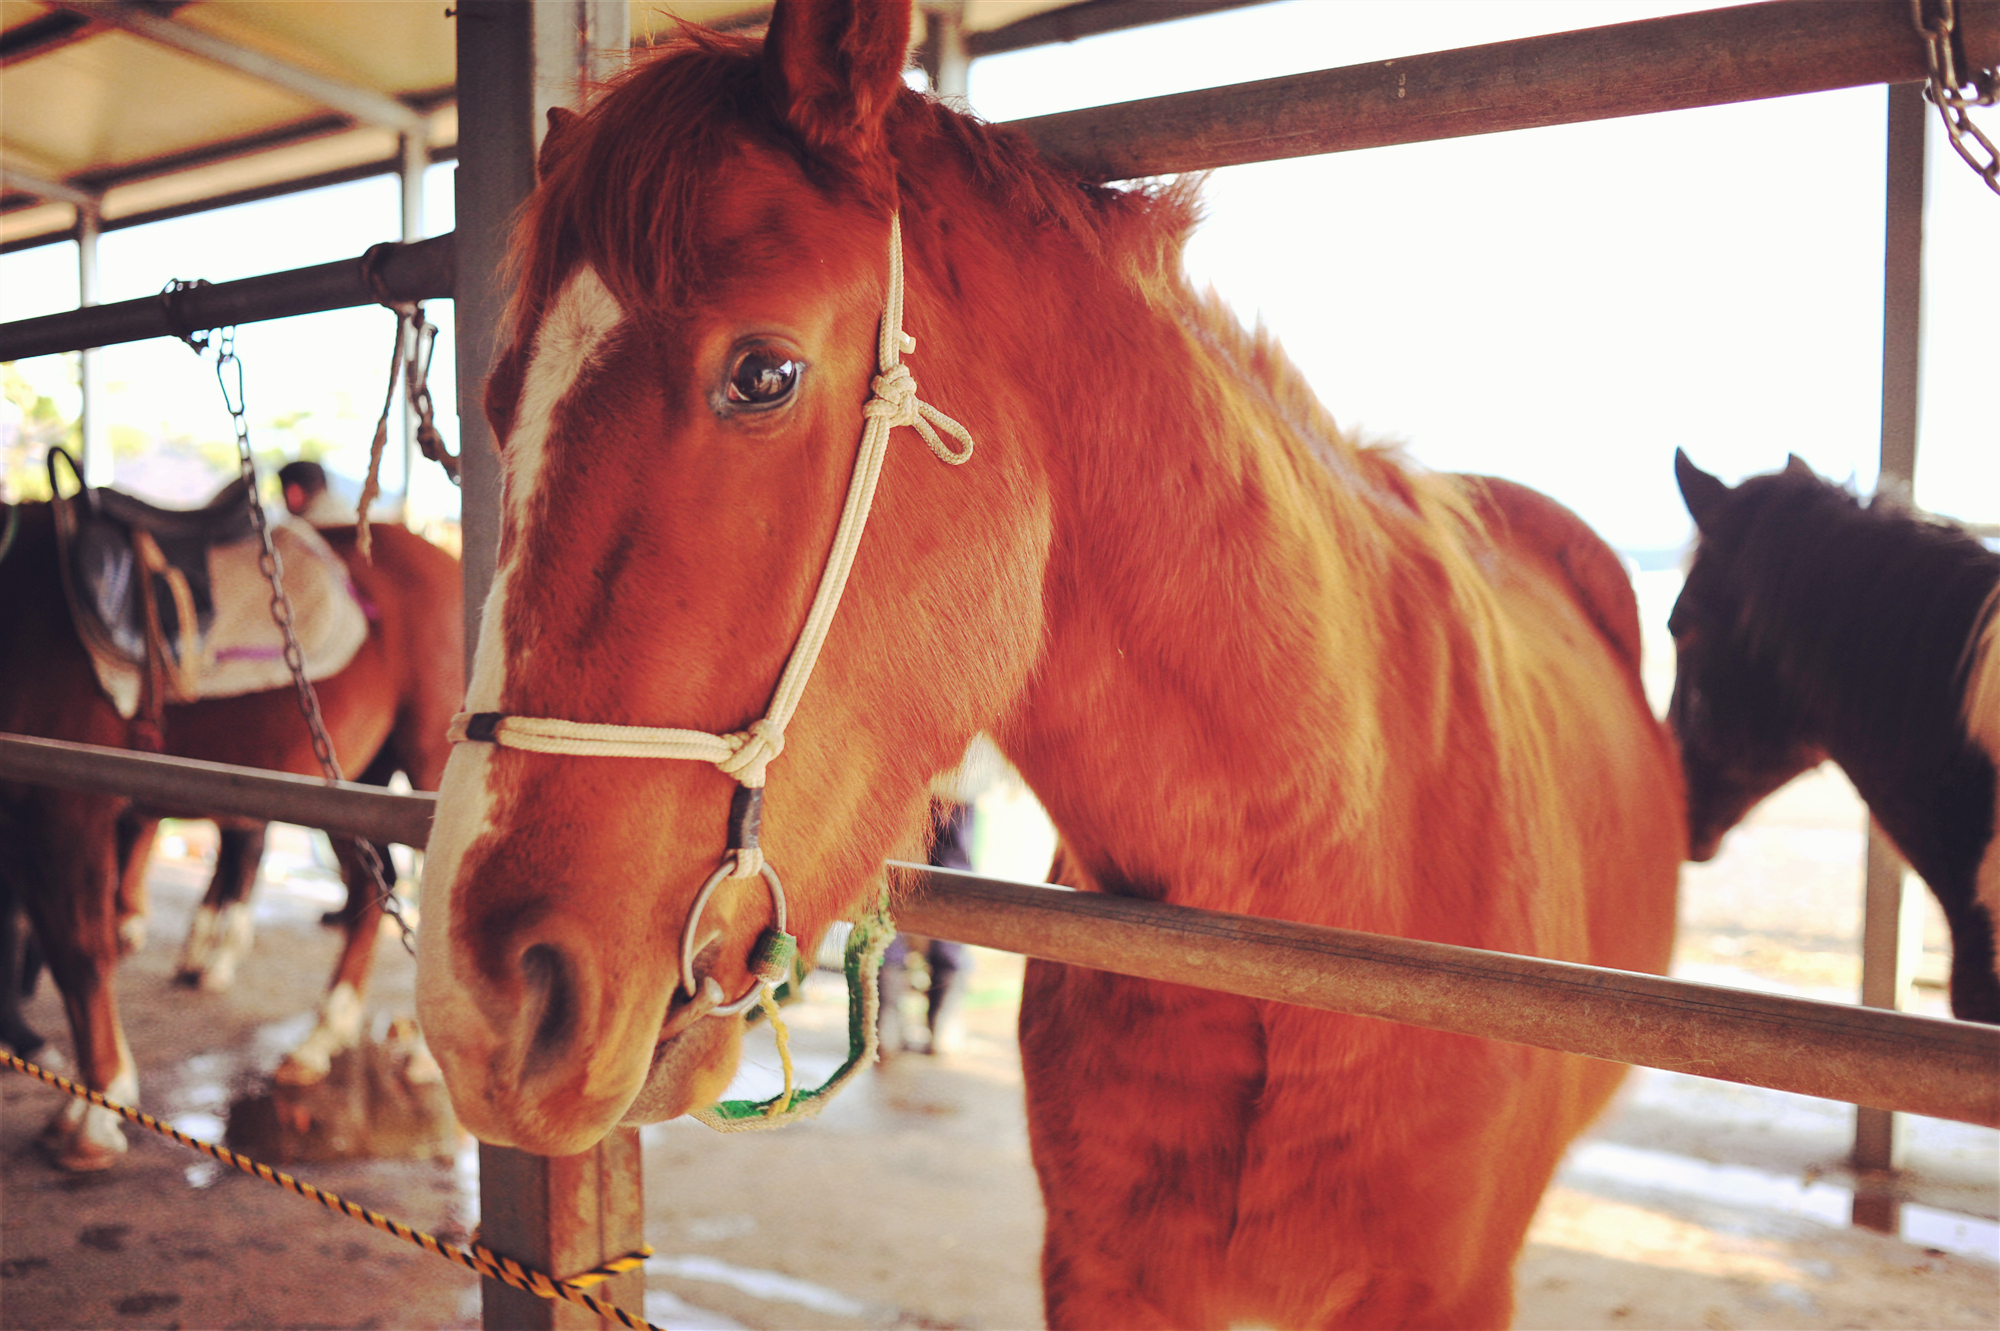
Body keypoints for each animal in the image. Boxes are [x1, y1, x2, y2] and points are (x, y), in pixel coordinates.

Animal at [0, 497, 464, 1159]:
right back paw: (319, 1040)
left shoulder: (67, 806)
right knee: (370, 888)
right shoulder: (23, 818)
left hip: (429, 763)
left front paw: (97, 1112)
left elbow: (81, 953)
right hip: (350, 777)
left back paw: (421, 1053)